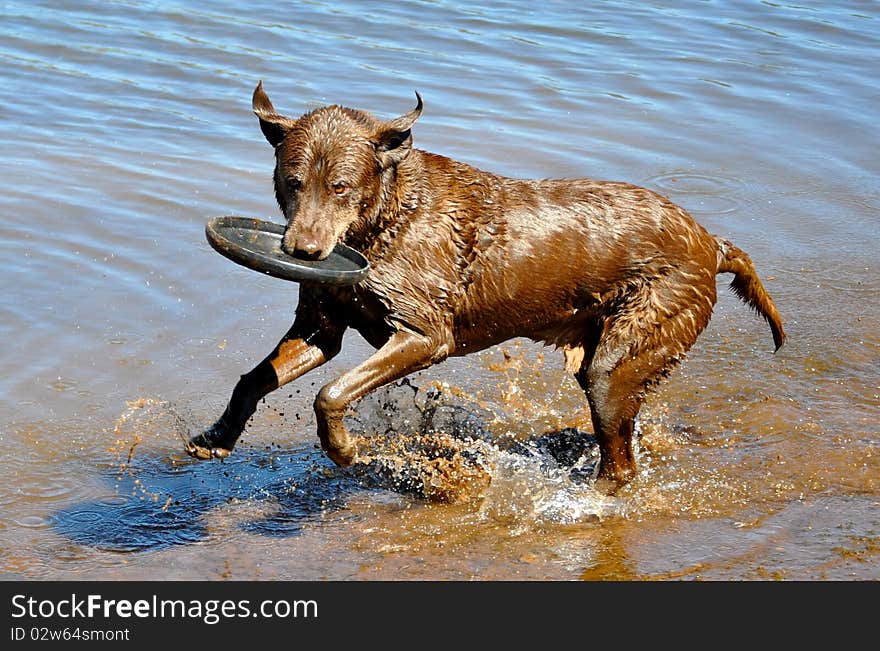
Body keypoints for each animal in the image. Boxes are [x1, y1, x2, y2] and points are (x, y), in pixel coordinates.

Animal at [186, 81, 784, 486]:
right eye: (292, 182)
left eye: (341, 186)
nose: (303, 253)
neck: (386, 220)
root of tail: (711, 242)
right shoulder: (320, 329)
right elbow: (251, 380)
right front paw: (217, 437)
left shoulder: (426, 336)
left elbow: (331, 394)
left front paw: (346, 450)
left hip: (621, 360)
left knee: (619, 459)